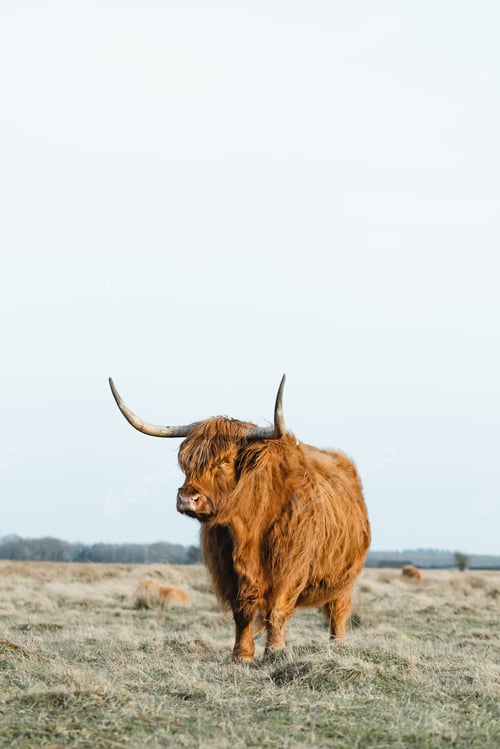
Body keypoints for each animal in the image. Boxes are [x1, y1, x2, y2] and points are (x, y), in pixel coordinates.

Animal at [110, 375, 370, 662]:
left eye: (224, 462)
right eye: (186, 462)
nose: (187, 499)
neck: (247, 529)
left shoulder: (289, 567)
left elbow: (277, 609)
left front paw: (275, 651)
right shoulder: (228, 570)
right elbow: (242, 611)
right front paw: (241, 655)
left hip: (345, 579)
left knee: (338, 611)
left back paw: (338, 645)